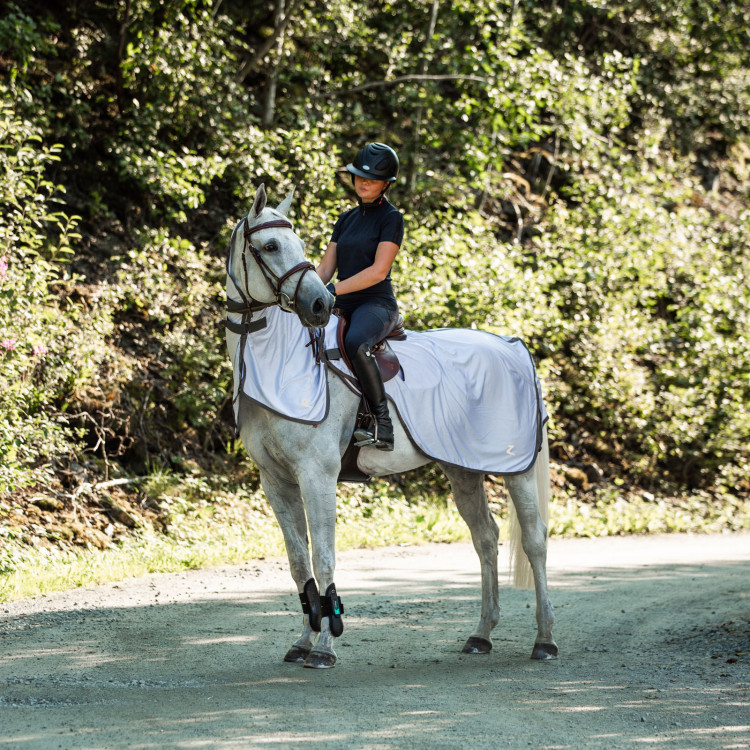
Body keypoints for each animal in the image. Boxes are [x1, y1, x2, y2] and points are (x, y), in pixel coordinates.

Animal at [223, 184, 560, 668]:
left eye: (298, 244)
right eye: (270, 246)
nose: (320, 305)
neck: (280, 364)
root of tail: (512, 346)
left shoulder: (316, 475)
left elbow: (324, 558)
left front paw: (324, 648)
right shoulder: (275, 481)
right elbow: (299, 562)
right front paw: (302, 642)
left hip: (516, 468)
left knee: (534, 540)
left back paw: (545, 640)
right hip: (464, 469)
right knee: (486, 538)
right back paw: (481, 634)